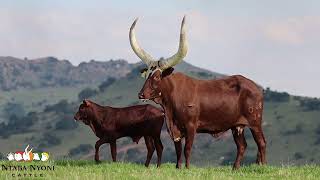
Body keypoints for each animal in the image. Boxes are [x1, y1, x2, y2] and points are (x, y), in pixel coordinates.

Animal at [129, 16, 266, 169]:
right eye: (147, 75)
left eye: (157, 77)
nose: (141, 94)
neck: (170, 102)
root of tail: (256, 88)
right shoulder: (175, 130)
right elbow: (178, 150)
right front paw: (178, 167)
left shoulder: (191, 126)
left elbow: (187, 149)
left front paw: (187, 168)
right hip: (236, 126)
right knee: (242, 146)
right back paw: (235, 169)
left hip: (255, 122)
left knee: (261, 143)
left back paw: (263, 166)